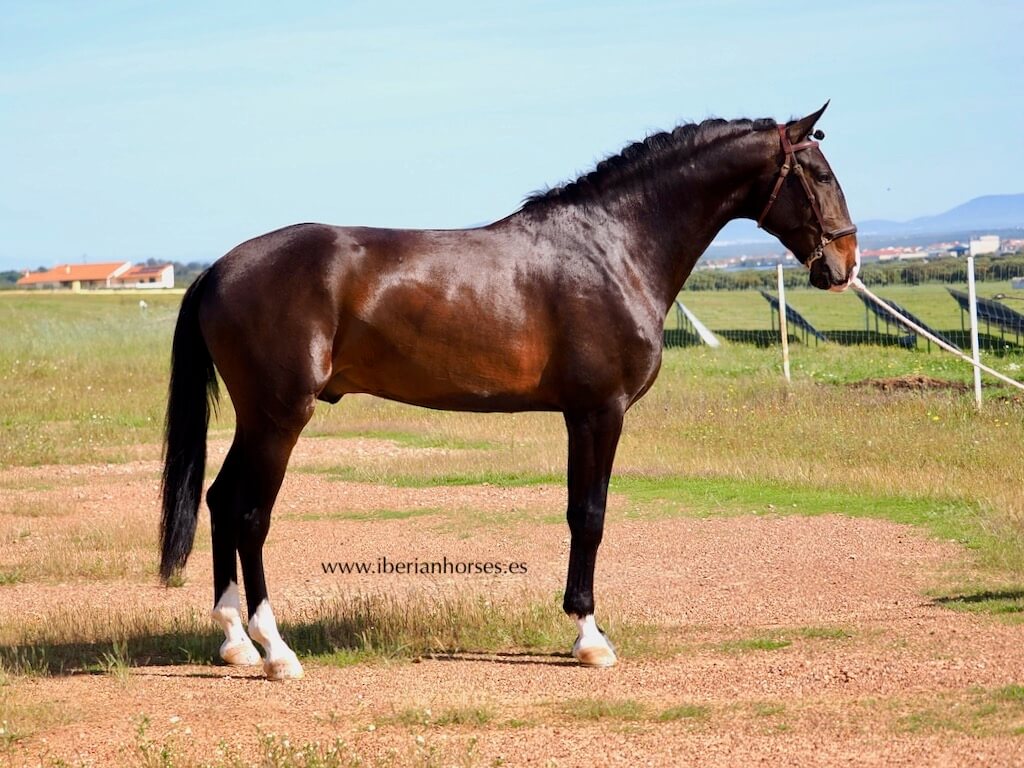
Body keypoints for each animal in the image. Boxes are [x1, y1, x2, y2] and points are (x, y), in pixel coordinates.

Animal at [160, 103, 859, 680]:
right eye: (819, 175)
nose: (844, 265)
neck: (612, 247)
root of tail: (219, 269)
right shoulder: (598, 413)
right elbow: (590, 515)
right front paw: (590, 638)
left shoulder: (582, 415)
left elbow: (580, 512)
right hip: (280, 417)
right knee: (250, 513)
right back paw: (275, 650)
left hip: (256, 418)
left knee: (219, 500)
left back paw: (234, 642)